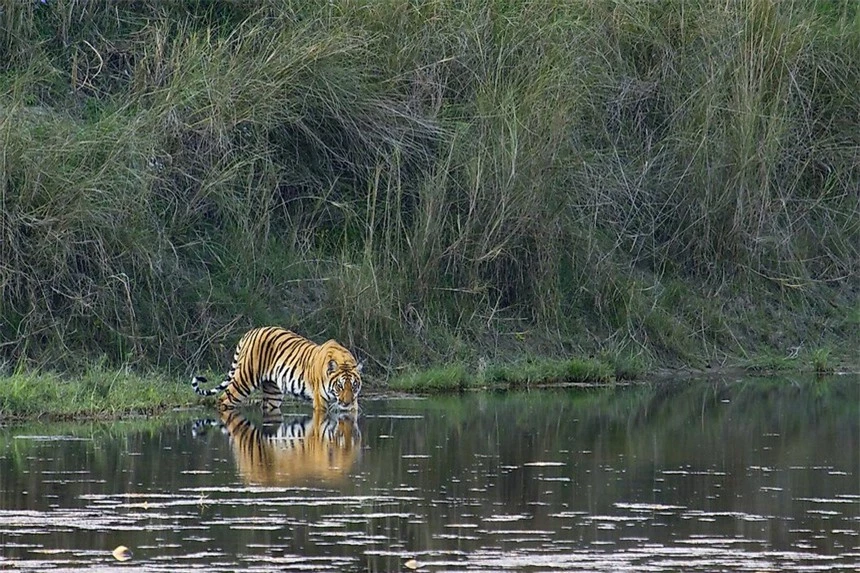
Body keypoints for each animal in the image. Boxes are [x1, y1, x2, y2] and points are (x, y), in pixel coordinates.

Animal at [190, 326, 362, 412]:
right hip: (244, 380)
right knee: (223, 399)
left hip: (272, 392)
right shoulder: (320, 401)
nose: (346, 403)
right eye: (339, 386)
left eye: (354, 385)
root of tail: (251, 332)